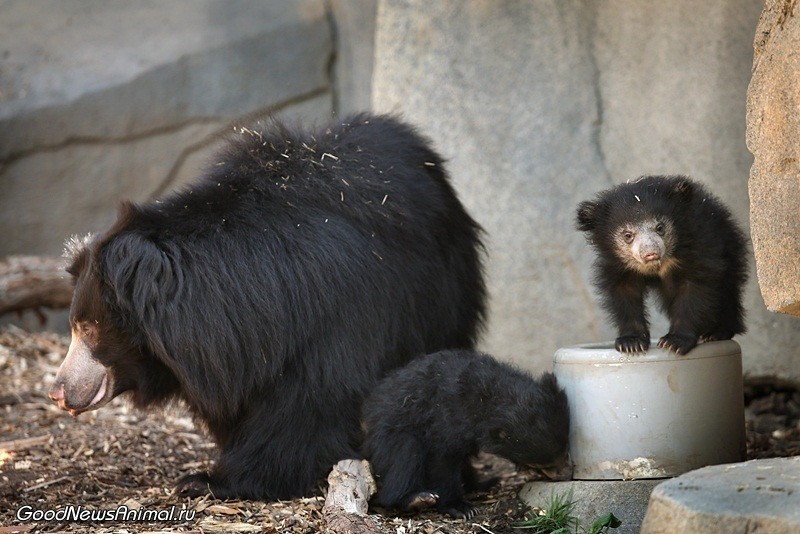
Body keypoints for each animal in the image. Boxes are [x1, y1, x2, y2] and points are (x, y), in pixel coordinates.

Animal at [51, 114, 488, 502]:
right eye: (75, 325)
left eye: (89, 329)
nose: (58, 391)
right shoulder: (234, 349)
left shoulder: (334, 310)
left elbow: (311, 399)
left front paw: (212, 482)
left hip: (441, 294)